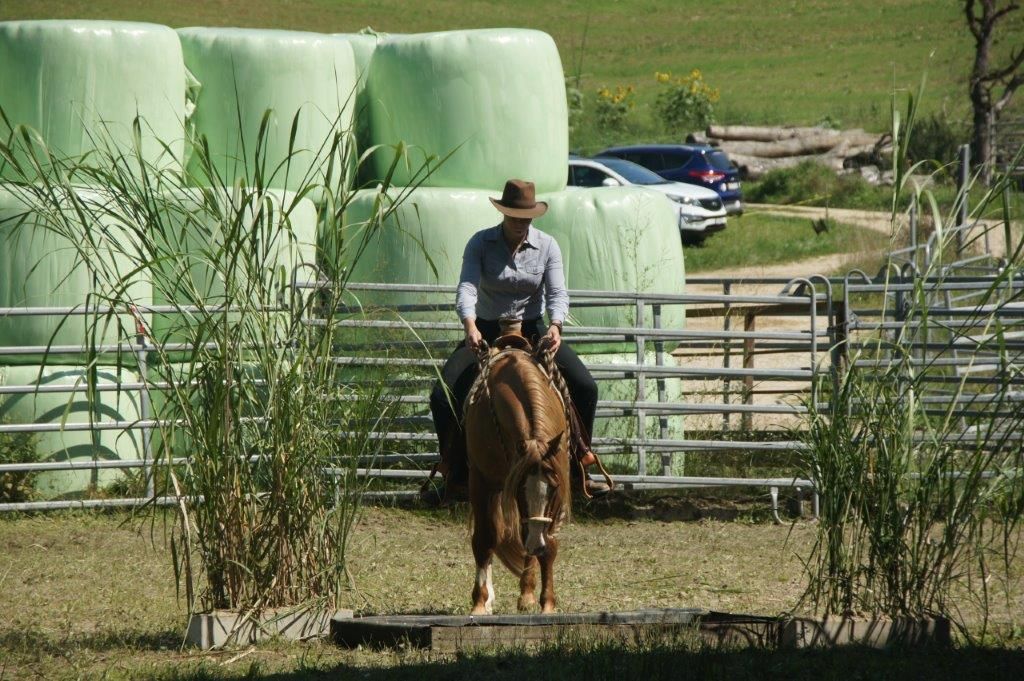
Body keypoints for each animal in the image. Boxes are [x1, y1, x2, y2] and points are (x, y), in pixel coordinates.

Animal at [463, 323, 571, 615]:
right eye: (521, 491)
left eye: (553, 488)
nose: (536, 543)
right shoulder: (481, 481)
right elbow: (485, 538)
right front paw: (479, 602)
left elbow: (551, 541)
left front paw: (547, 602)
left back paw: (527, 595)